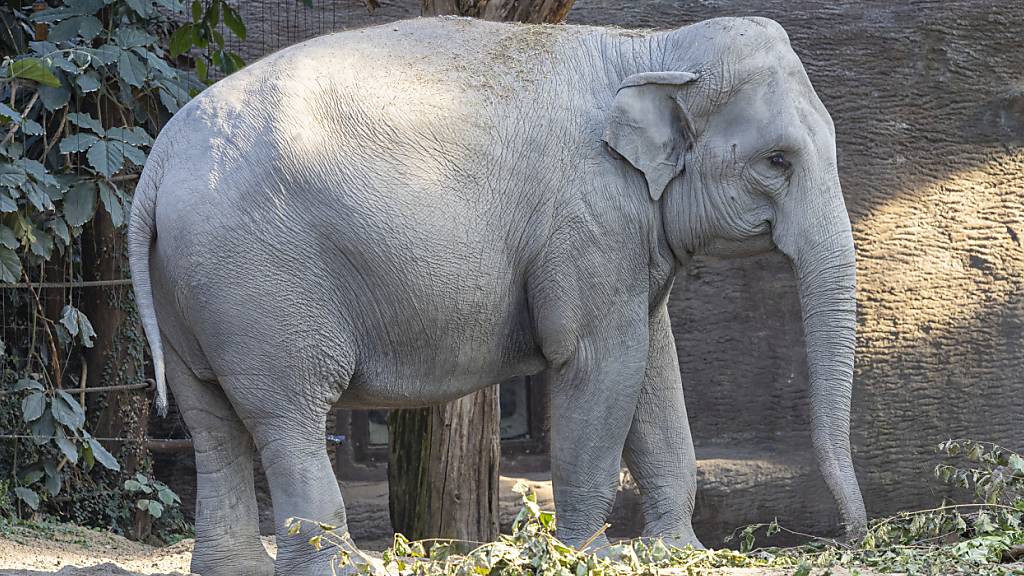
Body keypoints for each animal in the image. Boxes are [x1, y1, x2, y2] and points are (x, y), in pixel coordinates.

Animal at [125, 15, 864, 573]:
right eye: (777, 161)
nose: (855, 538)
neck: (650, 45)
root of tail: (156, 165)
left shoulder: (626, 233)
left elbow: (655, 365)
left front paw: (678, 554)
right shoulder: (588, 219)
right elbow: (602, 363)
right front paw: (589, 557)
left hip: (192, 285)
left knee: (212, 421)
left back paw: (236, 568)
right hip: (257, 281)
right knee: (287, 415)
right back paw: (341, 566)